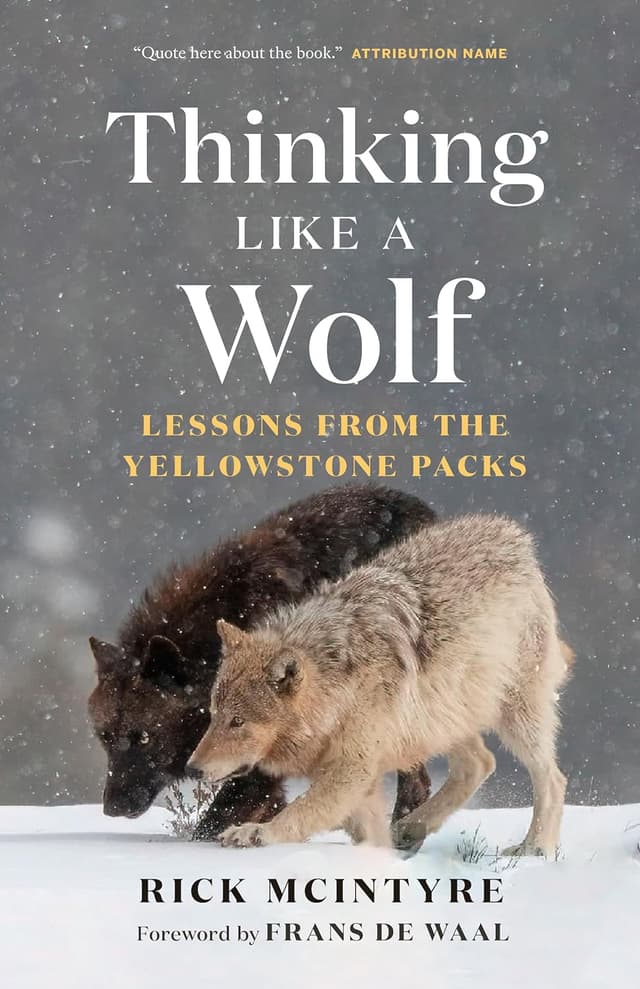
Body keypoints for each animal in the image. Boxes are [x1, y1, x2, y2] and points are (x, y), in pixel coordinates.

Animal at [187, 514, 574, 856]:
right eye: (214, 715)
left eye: (238, 722)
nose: (192, 768)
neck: (337, 684)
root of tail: (516, 536)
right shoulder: (357, 774)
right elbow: (364, 830)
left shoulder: (353, 768)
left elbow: (300, 811)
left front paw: (255, 833)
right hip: (440, 722)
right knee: (480, 763)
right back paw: (410, 828)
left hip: (515, 717)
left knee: (552, 779)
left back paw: (534, 848)